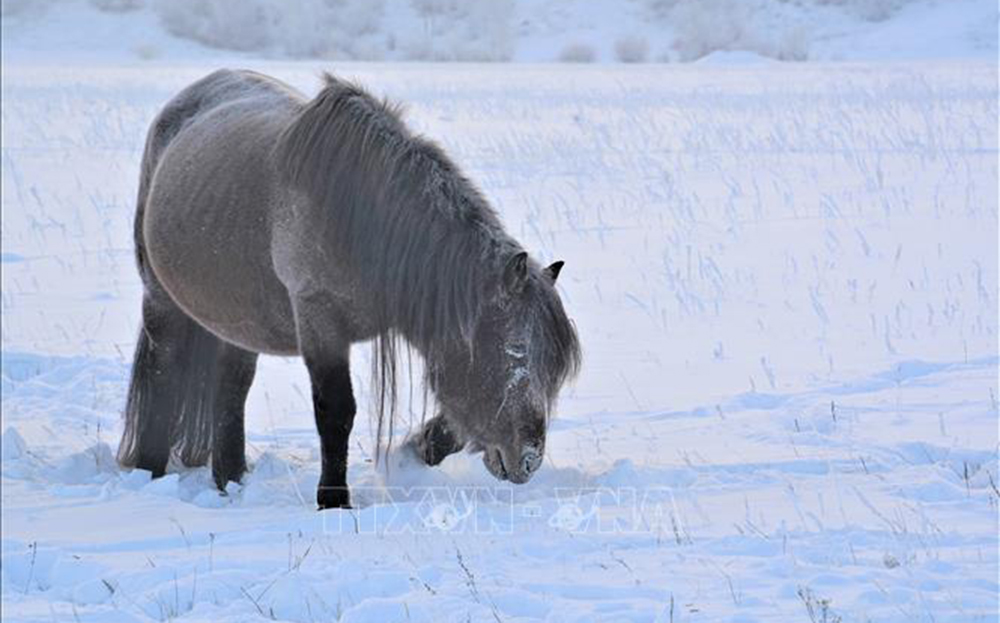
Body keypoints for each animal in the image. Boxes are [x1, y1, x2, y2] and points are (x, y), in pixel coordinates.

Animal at [116, 70, 584, 510]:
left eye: (552, 368)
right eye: (509, 354)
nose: (528, 461)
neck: (361, 216)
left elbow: (453, 418)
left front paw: (412, 452)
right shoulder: (319, 320)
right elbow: (336, 410)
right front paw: (334, 500)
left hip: (238, 319)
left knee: (232, 388)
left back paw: (231, 481)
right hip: (160, 300)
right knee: (163, 373)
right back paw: (149, 471)